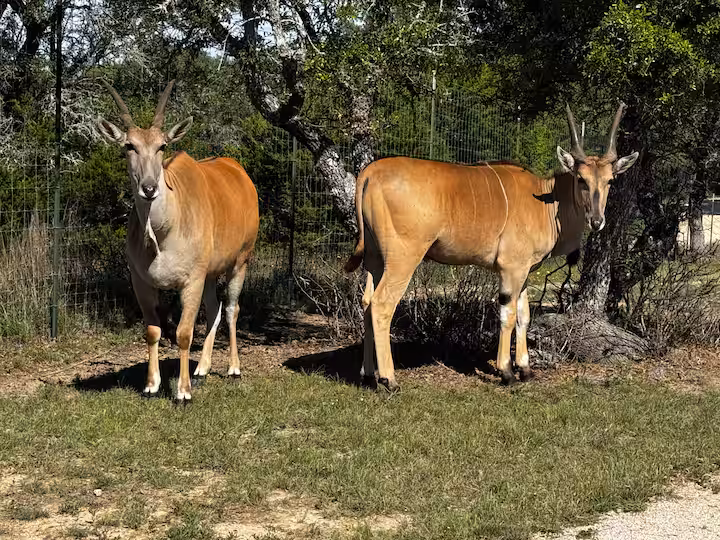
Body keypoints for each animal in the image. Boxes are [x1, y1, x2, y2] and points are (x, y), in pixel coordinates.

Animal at [96, 80, 259, 401]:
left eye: (162, 145)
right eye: (129, 145)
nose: (149, 188)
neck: (161, 234)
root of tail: (240, 173)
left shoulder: (190, 281)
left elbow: (184, 333)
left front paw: (182, 392)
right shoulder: (143, 282)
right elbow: (153, 331)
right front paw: (151, 385)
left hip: (240, 262)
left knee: (231, 309)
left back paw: (233, 368)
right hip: (210, 274)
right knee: (214, 310)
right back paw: (202, 370)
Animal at [345, 103, 638, 389]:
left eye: (610, 180)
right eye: (581, 179)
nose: (597, 221)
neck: (546, 199)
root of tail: (370, 173)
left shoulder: (524, 271)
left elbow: (523, 315)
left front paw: (525, 369)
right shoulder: (510, 268)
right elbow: (507, 314)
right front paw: (506, 372)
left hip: (375, 259)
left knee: (366, 302)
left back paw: (368, 375)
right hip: (403, 258)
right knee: (382, 304)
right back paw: (389, 380)